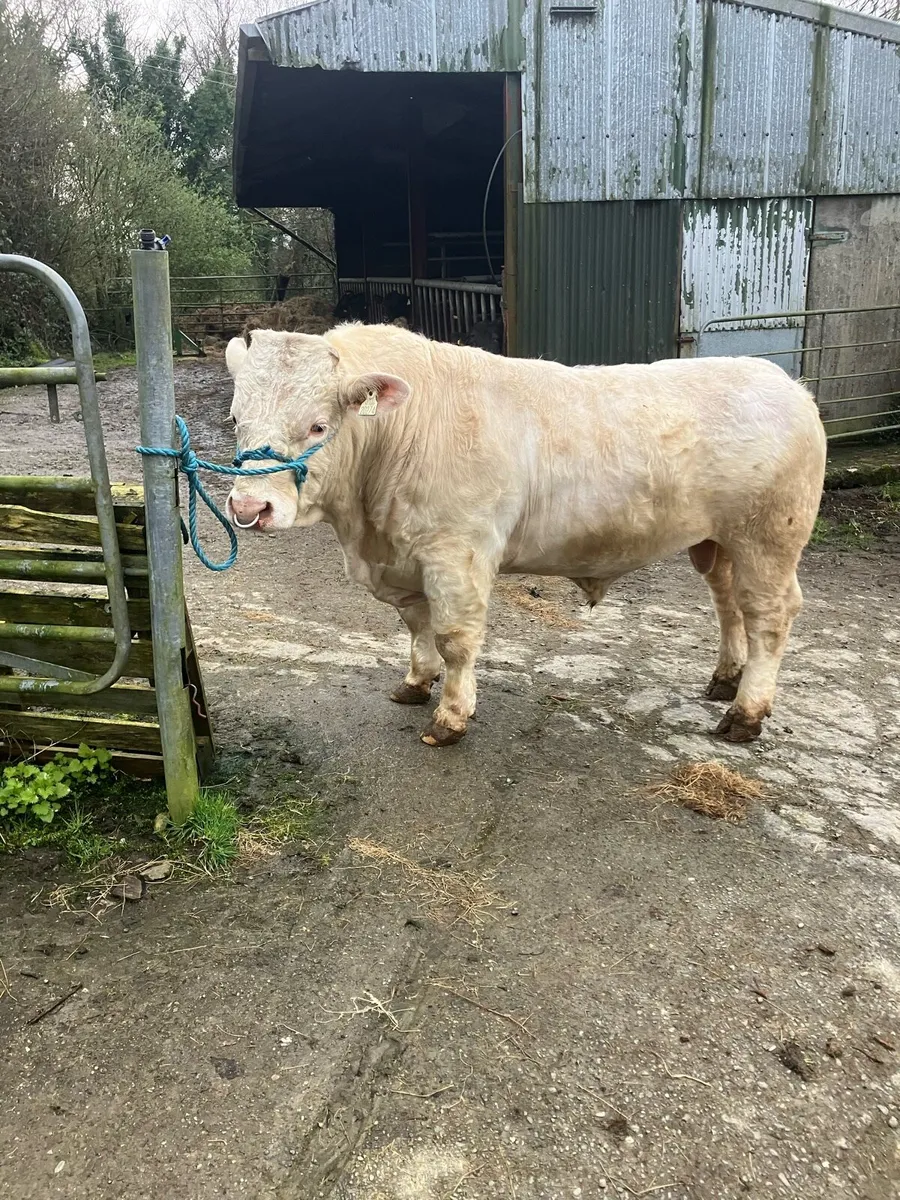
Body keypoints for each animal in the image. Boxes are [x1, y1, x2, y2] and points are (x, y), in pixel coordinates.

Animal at [224, 325, 826, 749]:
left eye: (318, 425)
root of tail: (786, 384)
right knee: (728, 602)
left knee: (769, 616)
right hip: (718, 541)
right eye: (235, 420)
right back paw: (726, 677)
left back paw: (745, 712)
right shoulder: (405, 558)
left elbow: (454, 639)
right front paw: (416, 682)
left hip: (769, 537)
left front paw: (451, 716)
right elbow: (417, 626)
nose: (249, 507)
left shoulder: (457, 553)